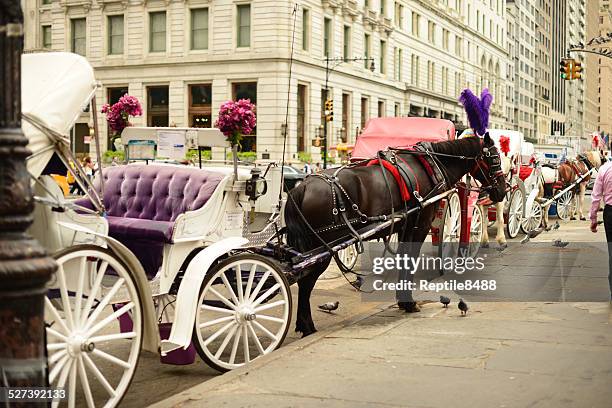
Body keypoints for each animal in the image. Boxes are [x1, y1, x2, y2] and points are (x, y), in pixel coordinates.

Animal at [284, 135, 504, 336]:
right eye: (495, 159)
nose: (502, 190)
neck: (431, 164)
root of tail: (302, 187)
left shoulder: (406, 226)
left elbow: (404, 260)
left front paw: (403, 300)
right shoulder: (420, 225)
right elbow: (410, 261)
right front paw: (408, 303)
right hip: (321, 249)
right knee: (306, 283)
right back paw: (307, 327)